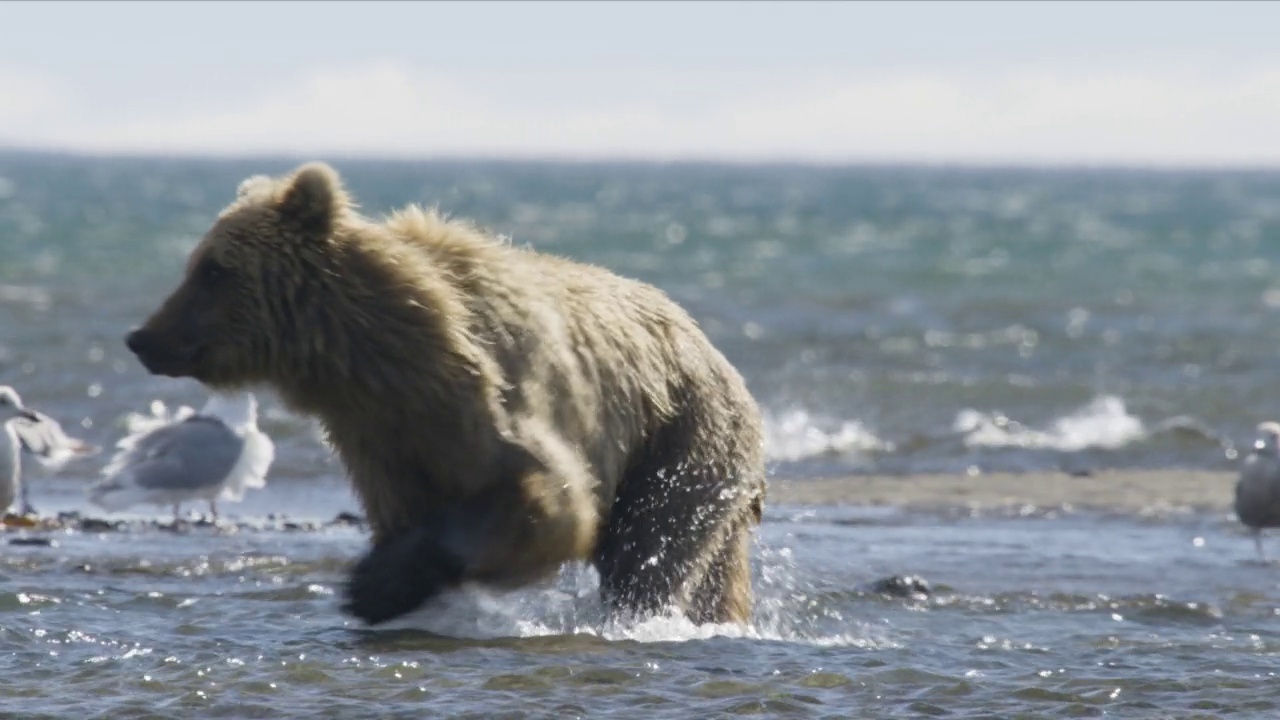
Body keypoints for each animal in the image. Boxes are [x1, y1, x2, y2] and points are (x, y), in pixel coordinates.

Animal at [127, 161, 768, 622]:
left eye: (213, 269)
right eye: (197, 263)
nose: (143, 337)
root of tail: (713, 348)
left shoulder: (490, 404)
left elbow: (551, 503)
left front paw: (376, 583)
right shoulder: (382, 439)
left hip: (680, 435)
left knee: (650, 545)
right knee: (710, 568)